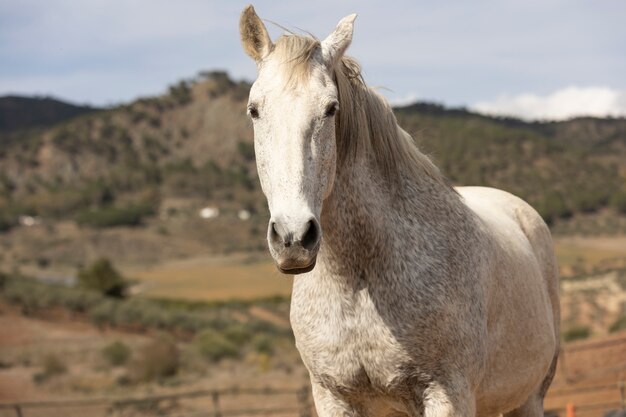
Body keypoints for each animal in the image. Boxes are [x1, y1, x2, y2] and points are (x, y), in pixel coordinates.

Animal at [238, 6, 556, 416]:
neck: (358, 278)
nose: (293, 238)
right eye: (254, 110)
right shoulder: (333, 396)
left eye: (331, 108)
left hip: (529, 398)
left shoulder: (448, 393)